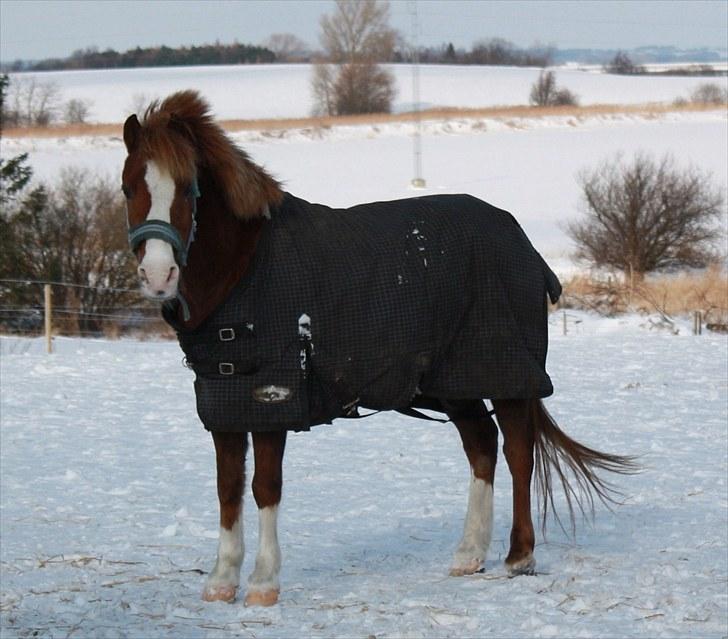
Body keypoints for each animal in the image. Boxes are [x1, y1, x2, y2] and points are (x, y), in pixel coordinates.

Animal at [122, 89, 636, 604]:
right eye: (129, 188)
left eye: (188, 190)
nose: (158, 275)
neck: (243, 270)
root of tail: (523, 245)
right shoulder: (225, 401)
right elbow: (227, 488)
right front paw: (222, 581)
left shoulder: (273, 397)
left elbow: (265, 487)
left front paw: (264, 584)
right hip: (456, 384)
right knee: (482, 447)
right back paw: (469, 554)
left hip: (502, 373)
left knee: (518, 452)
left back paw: (518, 556)